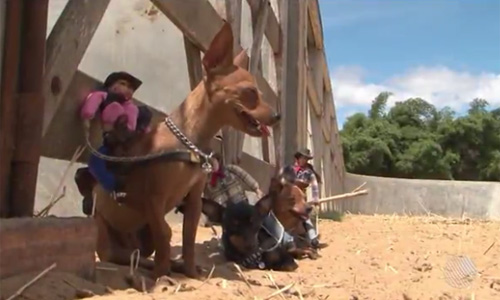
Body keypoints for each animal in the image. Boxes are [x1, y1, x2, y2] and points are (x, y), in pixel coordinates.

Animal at [92, 22, 280, 280]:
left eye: (261, 93)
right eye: (250, 92)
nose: (277, 116)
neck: (188, 141)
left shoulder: (193, 201)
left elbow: (188, 238)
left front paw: (190, 271)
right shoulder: (154, 200)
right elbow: (166, 233)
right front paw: (162, 275)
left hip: (143, 237)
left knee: (140, 255)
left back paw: (172, 265)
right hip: (107, 239)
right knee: (128, 256)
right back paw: (157, 270)